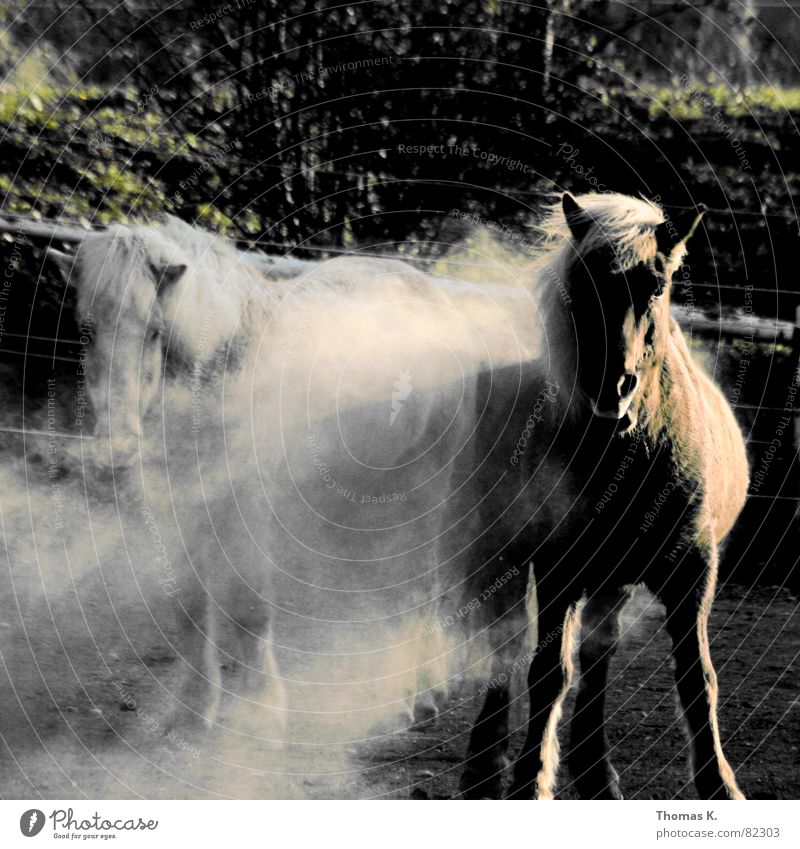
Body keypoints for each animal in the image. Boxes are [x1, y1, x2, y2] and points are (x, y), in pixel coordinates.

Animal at [460, 194, 748, 800]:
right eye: (582, 284)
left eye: (657, 287)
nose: (610, 391)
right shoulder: (560, 567)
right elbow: (549, 674)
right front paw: (530, 784)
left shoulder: (693, 569)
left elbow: (698, 677)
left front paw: (720, 784)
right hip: (500, 559)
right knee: (502, 650)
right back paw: (483, 771)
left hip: (612, 579)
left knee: (598, 655)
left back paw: (596, 774)